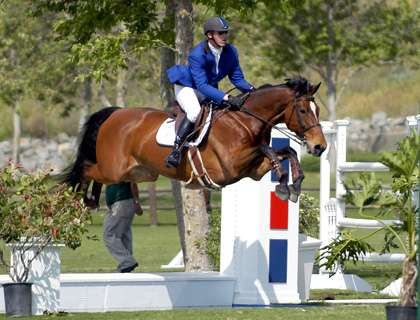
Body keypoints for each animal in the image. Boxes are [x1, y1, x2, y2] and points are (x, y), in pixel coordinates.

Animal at [63, 75, 328, 205]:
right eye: (303, 111)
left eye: (317, 110)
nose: (320, 147)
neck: (246, 120)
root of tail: (114, 114)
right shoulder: (231, 165)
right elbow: (268, 149)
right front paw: (284, 184)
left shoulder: (253, 170)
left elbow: (284, 153)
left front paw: (294, 185)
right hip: (114, 170)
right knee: (86, 168)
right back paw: (85, 199)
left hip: (139, 173)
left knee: (98, 174)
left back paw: (93, 199)